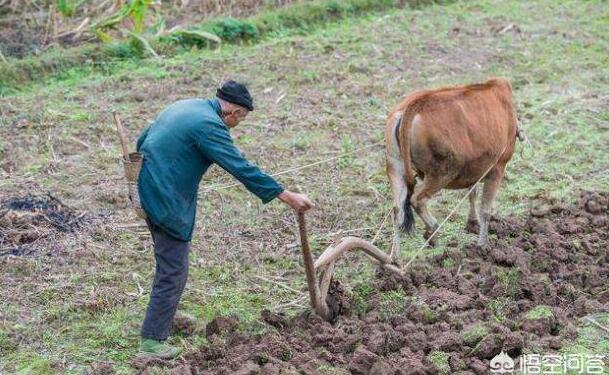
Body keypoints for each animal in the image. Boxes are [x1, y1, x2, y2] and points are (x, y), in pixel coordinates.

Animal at [384, 78, 516, 260]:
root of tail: (414, 105)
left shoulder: (475, 168)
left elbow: (472, 194)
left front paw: (472, 224)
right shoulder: (497, 168)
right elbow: (486, 210)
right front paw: (483, 246)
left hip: (395, 167)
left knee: (397, 210)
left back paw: (396, 257)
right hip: (441, 173)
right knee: (417, 200)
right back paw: (432, 230)